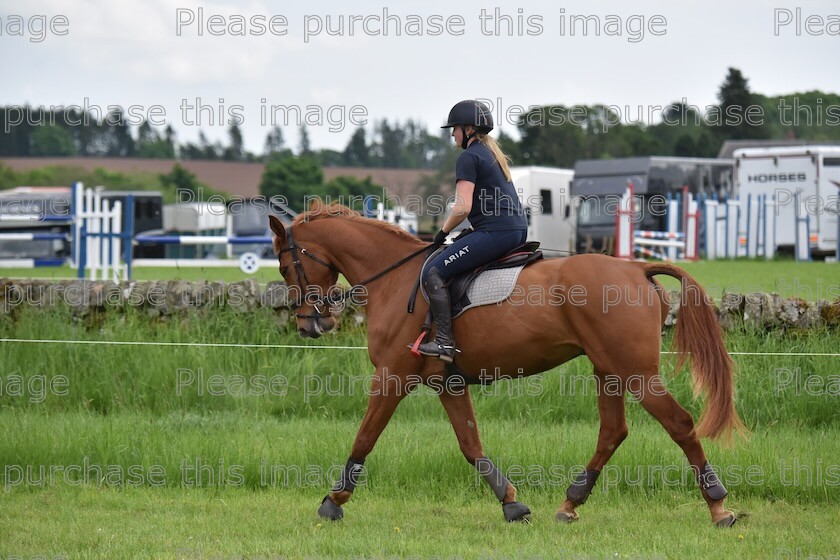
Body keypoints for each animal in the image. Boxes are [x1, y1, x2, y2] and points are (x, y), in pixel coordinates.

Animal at [266, 202, 744, 528]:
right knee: (613, 431)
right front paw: (511, 503)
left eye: (286, 266)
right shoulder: (448, 385)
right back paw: (570, 503)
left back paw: (718, 505)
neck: (393, 279)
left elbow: (365, 437)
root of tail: (638, 270)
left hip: (637, 374)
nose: (310, 324)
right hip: (608, 371)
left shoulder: (392, 377)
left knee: (679, 424)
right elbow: (471, 446)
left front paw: (334, 500)